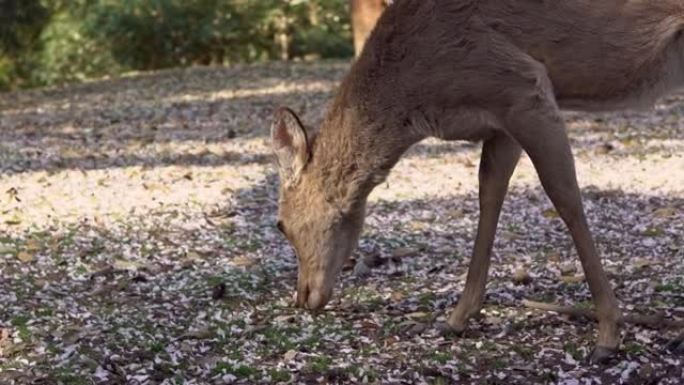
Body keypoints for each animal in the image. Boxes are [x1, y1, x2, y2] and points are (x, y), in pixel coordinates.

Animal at [268, 0, 684, 362]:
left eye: (281, 225)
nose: (303, 297)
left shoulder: (523, 85)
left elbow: (564, 197)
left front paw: (608, 335)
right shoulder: (500, 122)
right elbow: (489, 194)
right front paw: (455, 319)